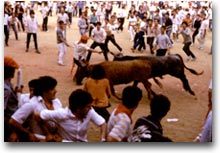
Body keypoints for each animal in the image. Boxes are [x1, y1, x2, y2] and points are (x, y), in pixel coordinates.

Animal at [74, 53, 203, 99]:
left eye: (80, 70)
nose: (76, 80)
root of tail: (176, 55)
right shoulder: (138, 79)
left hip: (176, 72)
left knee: (184, 78)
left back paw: (190, 90)